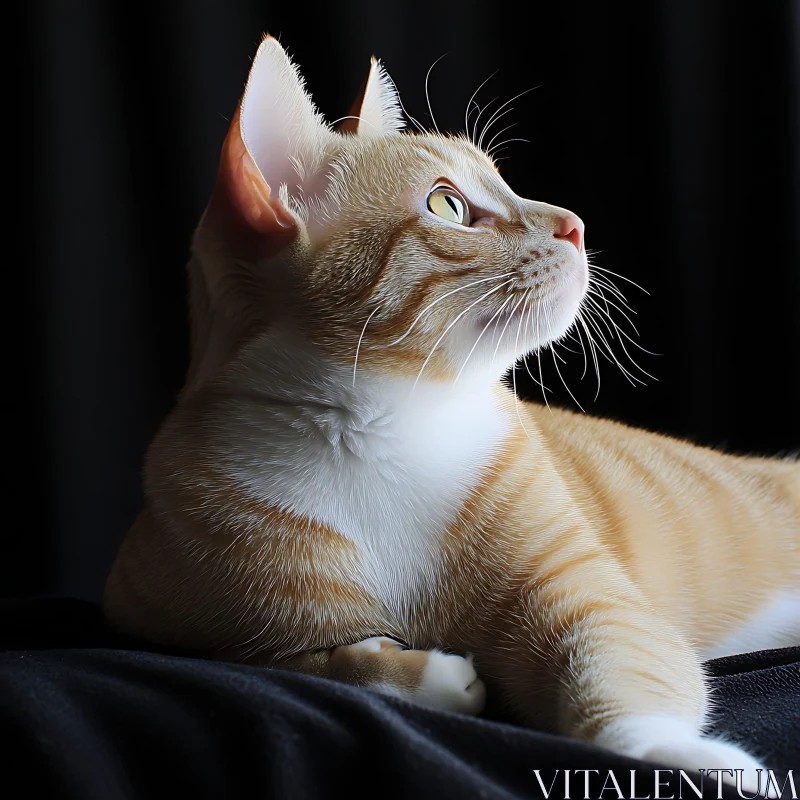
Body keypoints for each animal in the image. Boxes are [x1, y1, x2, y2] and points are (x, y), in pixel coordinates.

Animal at [103, 34, 796, 792]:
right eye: (449, 205)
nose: (576, 226)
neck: (378, 427)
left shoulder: (588, 593)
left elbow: (622, 662)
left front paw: (672, 755)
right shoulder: (160, 616)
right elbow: (291, 667)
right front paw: (414, 673)